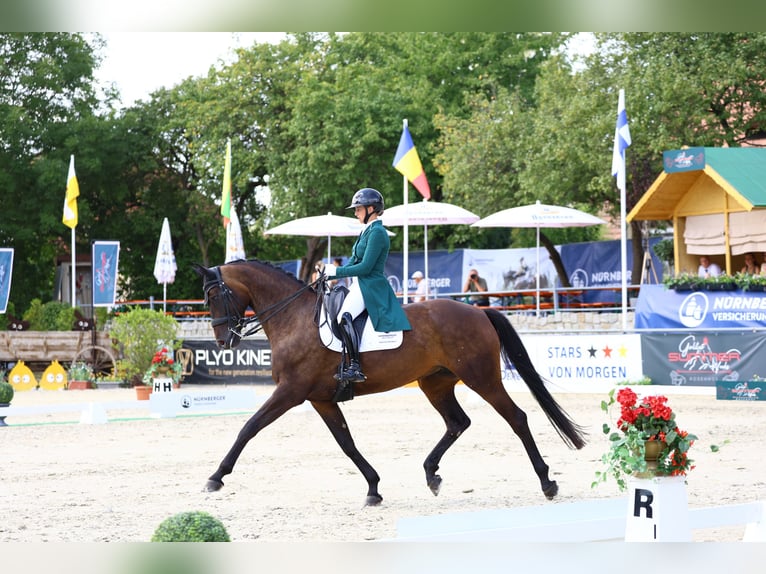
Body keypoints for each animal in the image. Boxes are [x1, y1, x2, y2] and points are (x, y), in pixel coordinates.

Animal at [194, 262, 588, 508]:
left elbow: (249, 427)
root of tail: (478, 311)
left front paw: (216, 477)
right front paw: (373, 488)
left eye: (213, 296)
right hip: (436, 383)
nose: (223, 342)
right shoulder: (321, 399)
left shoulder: (290, 392)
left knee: (517, 418)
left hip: (482, 379)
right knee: (457, 422)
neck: (294, 319)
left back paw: (547, 482)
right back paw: (431, 474)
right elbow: (347, 444)